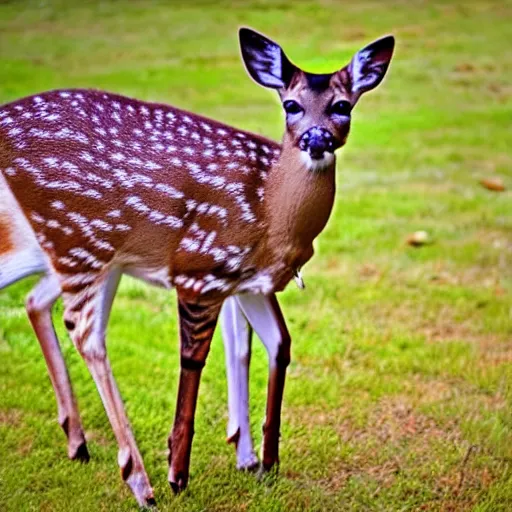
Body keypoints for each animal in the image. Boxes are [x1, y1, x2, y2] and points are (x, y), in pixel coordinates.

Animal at [0, 27, 396, 504]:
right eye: (291, 105)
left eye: (342, 106)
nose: (316, 140)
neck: (271, 214)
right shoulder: (200, 268)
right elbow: (195, 358)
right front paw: (179, 471)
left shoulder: (248, 283)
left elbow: (273, 345)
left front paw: (263, 462)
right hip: (79, 236)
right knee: (85, 330)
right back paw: (141, 482)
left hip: (83, 252)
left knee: (39, 302)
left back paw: (80, 445)